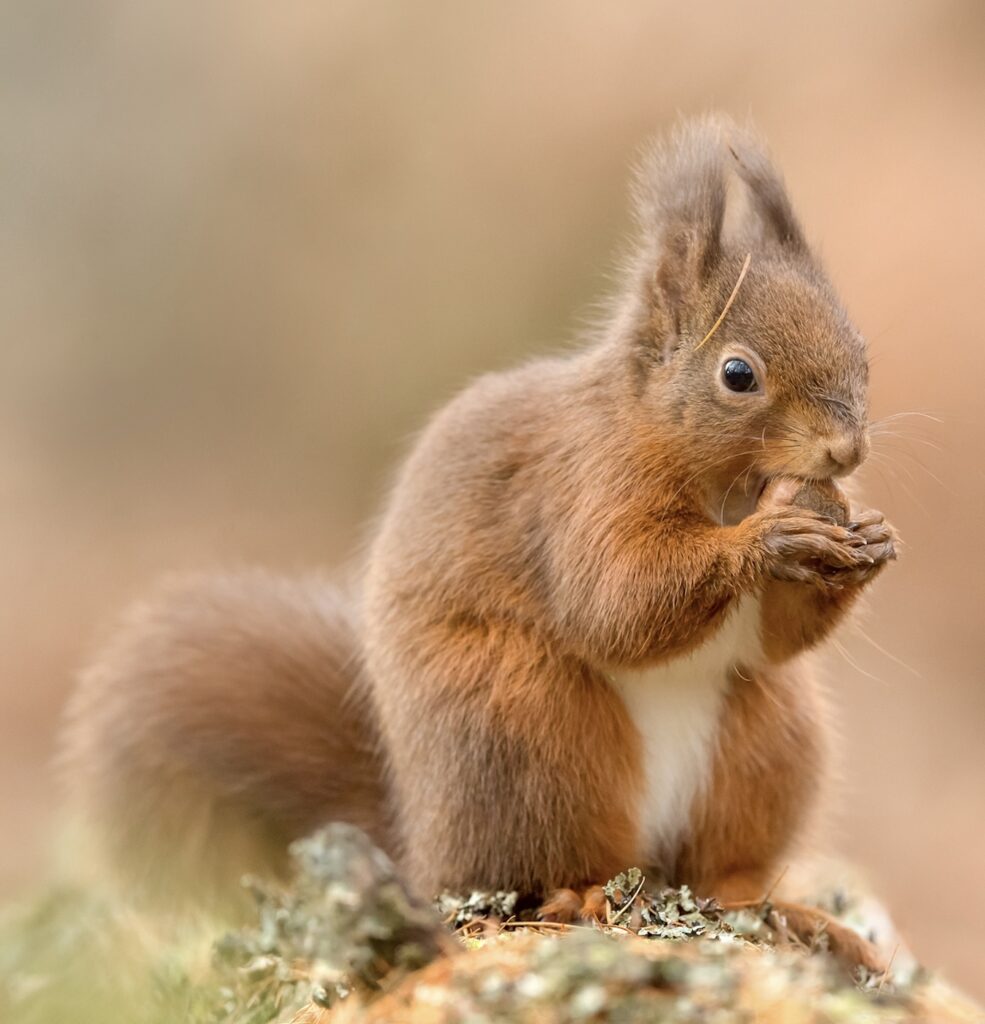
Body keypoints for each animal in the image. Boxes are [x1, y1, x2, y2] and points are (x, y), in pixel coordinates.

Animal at [62, 116, 897, 967]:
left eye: (860, 348)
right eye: (737, 374)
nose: (845, 452)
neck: (726, 483)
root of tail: (421, 841)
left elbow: (774, 638)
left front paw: (865, 542)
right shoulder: (579, 490)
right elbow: (615, 601)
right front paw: (768, 538)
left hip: (766, 743)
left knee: (721, 875)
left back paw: (799, 920)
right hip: (527, 728)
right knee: (555, 862)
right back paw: (582, 896)